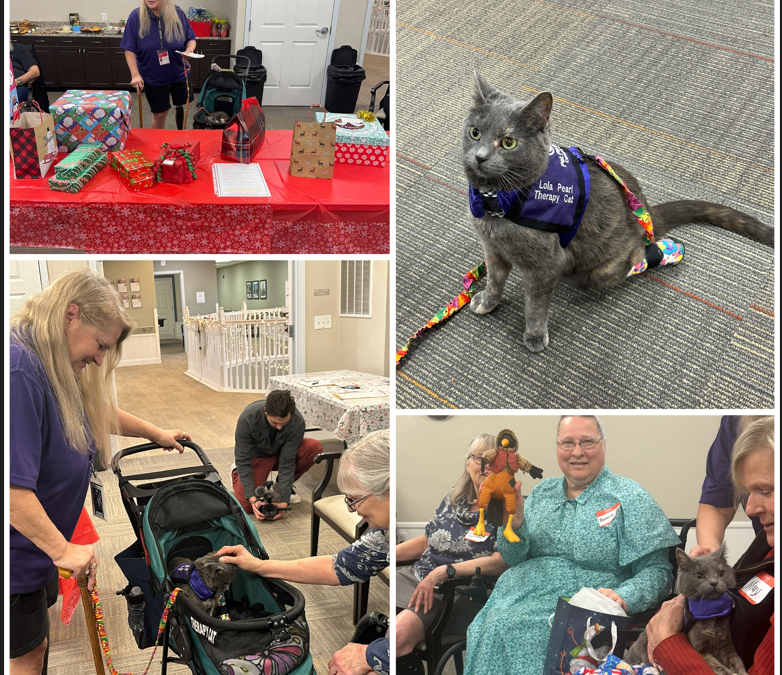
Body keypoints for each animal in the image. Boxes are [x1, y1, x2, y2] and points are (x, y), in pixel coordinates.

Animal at [462, 74, 776, 354]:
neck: (497, 202)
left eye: (508, 142)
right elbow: (495, 280)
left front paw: (535, 336)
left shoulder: (545, 265)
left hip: (600, 271)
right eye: (475, 132)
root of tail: (647, 209)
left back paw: (669, 250)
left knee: (637, 259)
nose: (479, 156)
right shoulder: (493, 248)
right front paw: (487, 302)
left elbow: (536, 305)